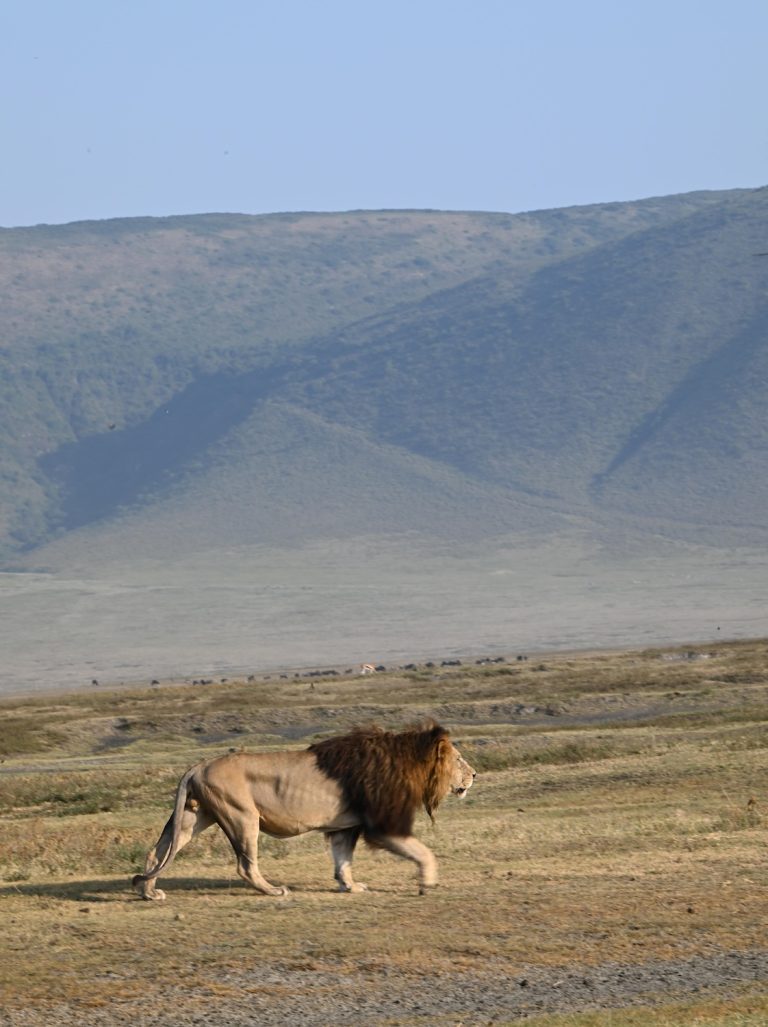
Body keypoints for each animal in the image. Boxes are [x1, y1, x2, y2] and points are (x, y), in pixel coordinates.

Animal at [132, 722, 475, 899]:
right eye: (459, 759)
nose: (474, 774)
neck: (406, 762)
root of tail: (198, 766)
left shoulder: (345, 827)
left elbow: (343, 861)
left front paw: (350, 886)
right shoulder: (382, 823)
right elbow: (424, 852)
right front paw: (427, 882)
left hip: (194, 817)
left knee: (156, 853)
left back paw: (149, 892)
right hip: (242, 816)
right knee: (245, 865)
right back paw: (273, 890)